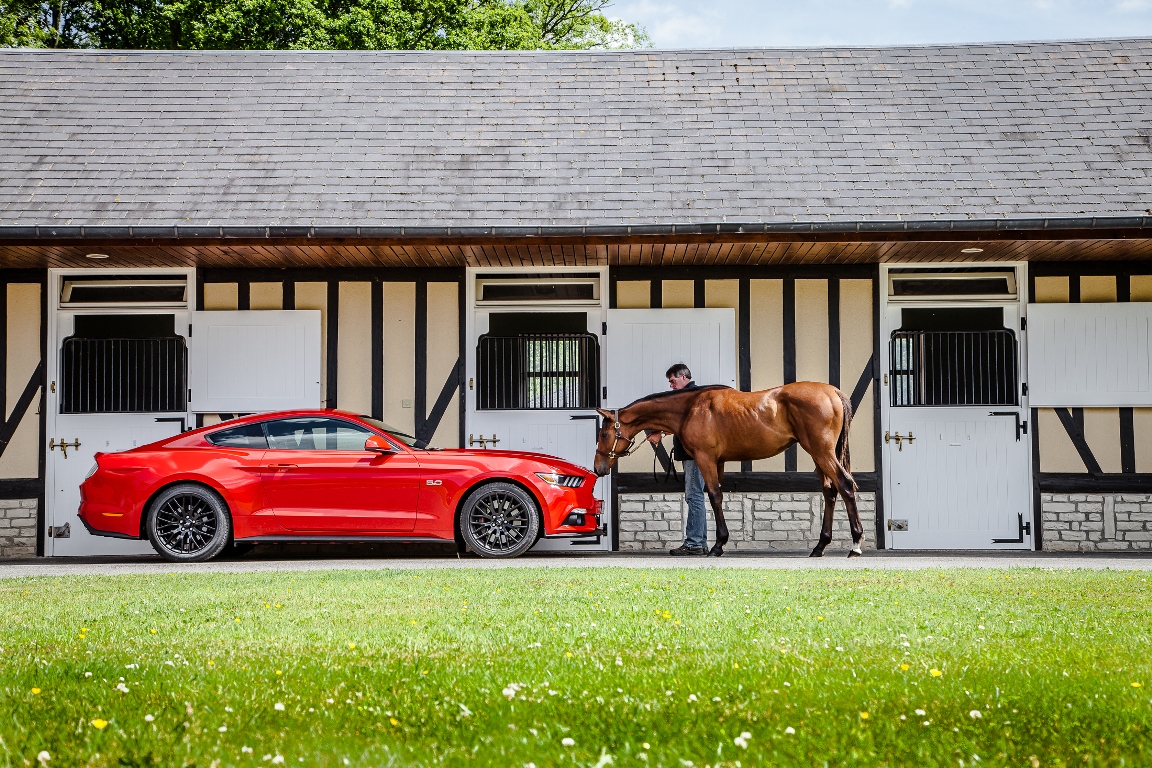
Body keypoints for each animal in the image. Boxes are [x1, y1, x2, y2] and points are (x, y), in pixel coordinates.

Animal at [599, 382, 861, 559]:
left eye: (603, 434)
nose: (599, 468)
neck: (690, 408)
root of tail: (832, 392)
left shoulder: (705, 458)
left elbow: (714, 495)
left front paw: (717, 546)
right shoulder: (719, 461)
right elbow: (717, 496)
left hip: (821, 452)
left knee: (845, 485)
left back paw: (856, 544)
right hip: (819, 456)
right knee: (830, 491)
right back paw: (820, 546)